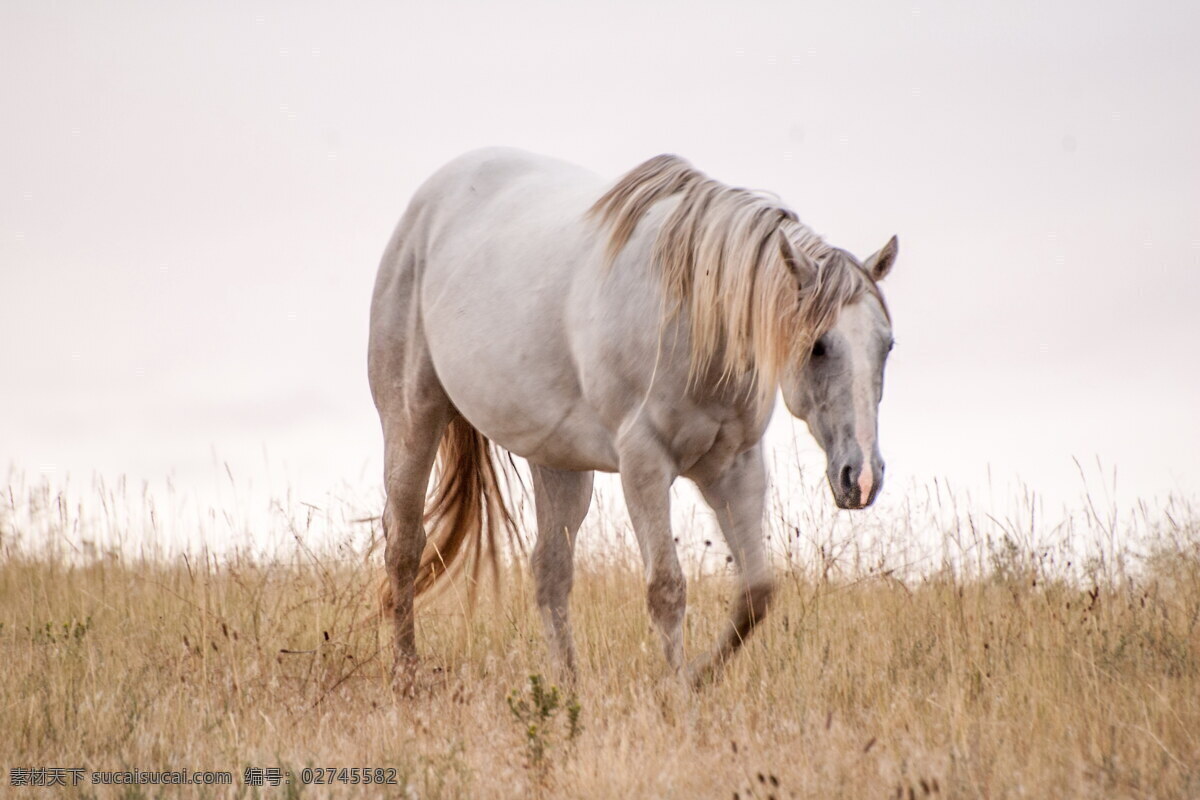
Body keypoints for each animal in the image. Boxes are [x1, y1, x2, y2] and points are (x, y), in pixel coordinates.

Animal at [369, 146, 897, 686]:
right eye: (818, 346)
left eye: (888, 345)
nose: (862, 478)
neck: (693, 318)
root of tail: (428, 204)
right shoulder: (644, 464)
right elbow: (667, 589)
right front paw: (676, 690)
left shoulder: (736, 466)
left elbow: (756, 592)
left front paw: (697, 677)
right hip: (413, 419)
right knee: (404, 546)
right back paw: (406, 673)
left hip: (558, 463)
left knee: (550, 572)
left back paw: (567, 686)